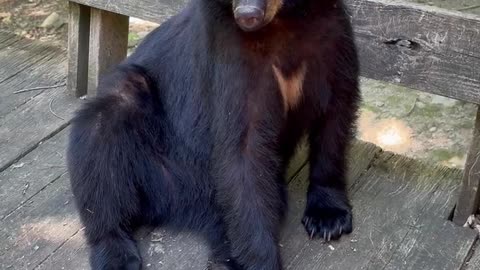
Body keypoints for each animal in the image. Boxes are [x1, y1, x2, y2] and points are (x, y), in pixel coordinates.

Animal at [67, 0, 360, 268]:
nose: (248, 15)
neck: (284, 22)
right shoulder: (229, 54)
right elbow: (241, 148)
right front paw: (262, 261)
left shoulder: (334, 40)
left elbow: (334, 120)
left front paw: (328, 218)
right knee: (100, 146)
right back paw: (116, 254)